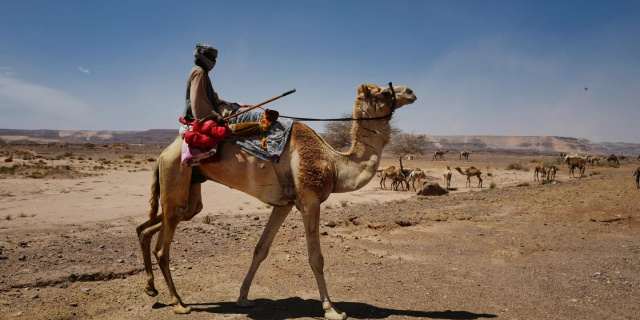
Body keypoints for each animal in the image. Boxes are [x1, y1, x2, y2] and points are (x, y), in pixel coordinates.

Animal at [133, 83, 418, 320]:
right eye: (384, 92)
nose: (410, 92)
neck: (334, 163)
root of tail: (164, 153)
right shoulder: (310, 200)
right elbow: (316, 257)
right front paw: (331, 310)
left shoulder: (284, 204)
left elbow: (261, 249)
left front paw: (243, 298)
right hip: (176, 177)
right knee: (163, 248)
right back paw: (178, 303)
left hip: (190, 190)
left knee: (149, 227)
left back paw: (150, 288)